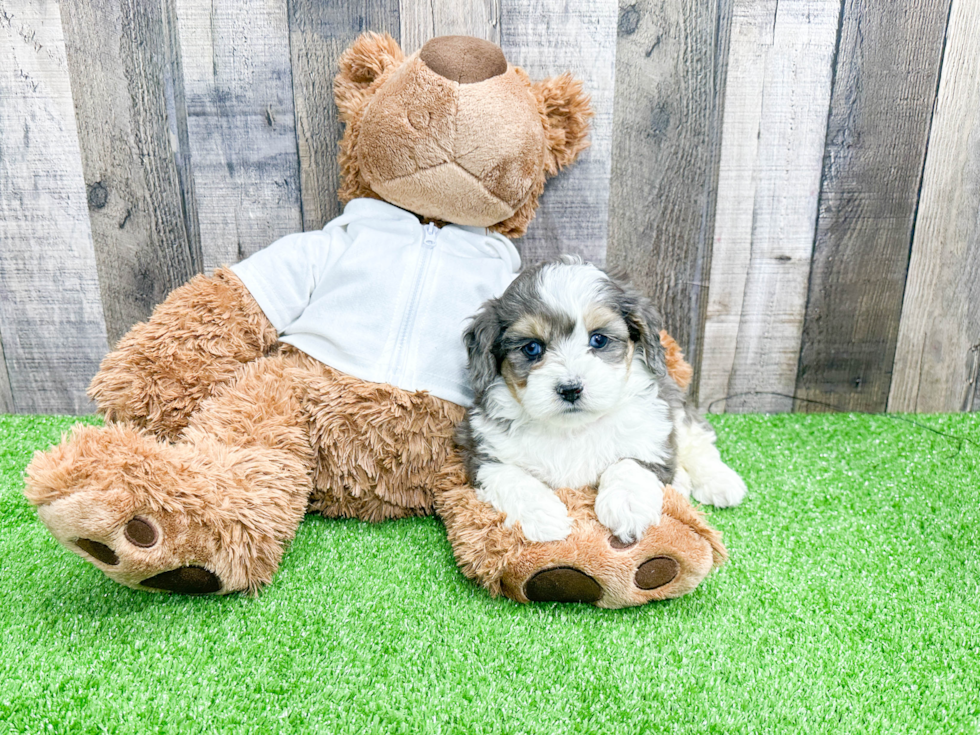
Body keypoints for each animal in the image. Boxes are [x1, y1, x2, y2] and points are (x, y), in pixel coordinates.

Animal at [456, 256, 748, 544]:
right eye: (532, 347)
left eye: (598, 339)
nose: (570, 389)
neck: (572, 430)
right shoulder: (483, 452)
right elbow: (510, 477)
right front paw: (542, 514)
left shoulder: (651, 434)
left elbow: (629, 463)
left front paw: (627, 505)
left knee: (697, 440)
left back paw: (720, 481)